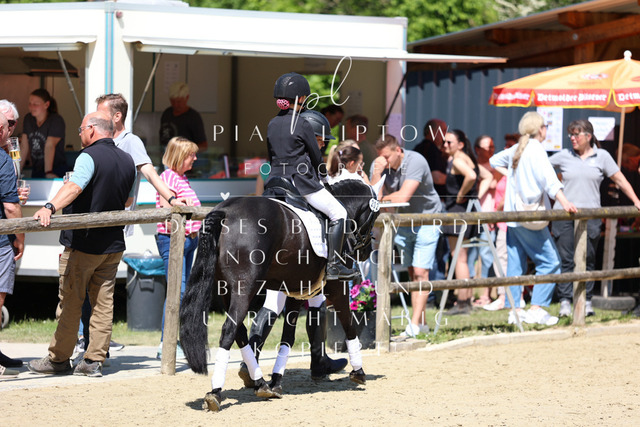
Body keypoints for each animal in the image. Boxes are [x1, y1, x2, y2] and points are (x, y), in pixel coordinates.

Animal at [179, 178, 382, 411]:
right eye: (374, 216)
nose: (366, 251)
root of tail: (226, 211)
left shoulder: (295, 290)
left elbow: (288, 337)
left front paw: (276, 380)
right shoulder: (337, 288)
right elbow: (349, 325)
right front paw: (358, 372)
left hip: (226, 290)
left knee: (241, 332)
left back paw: (260, 384)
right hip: (244, 289)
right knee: (229, 330)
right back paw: (215, 393)